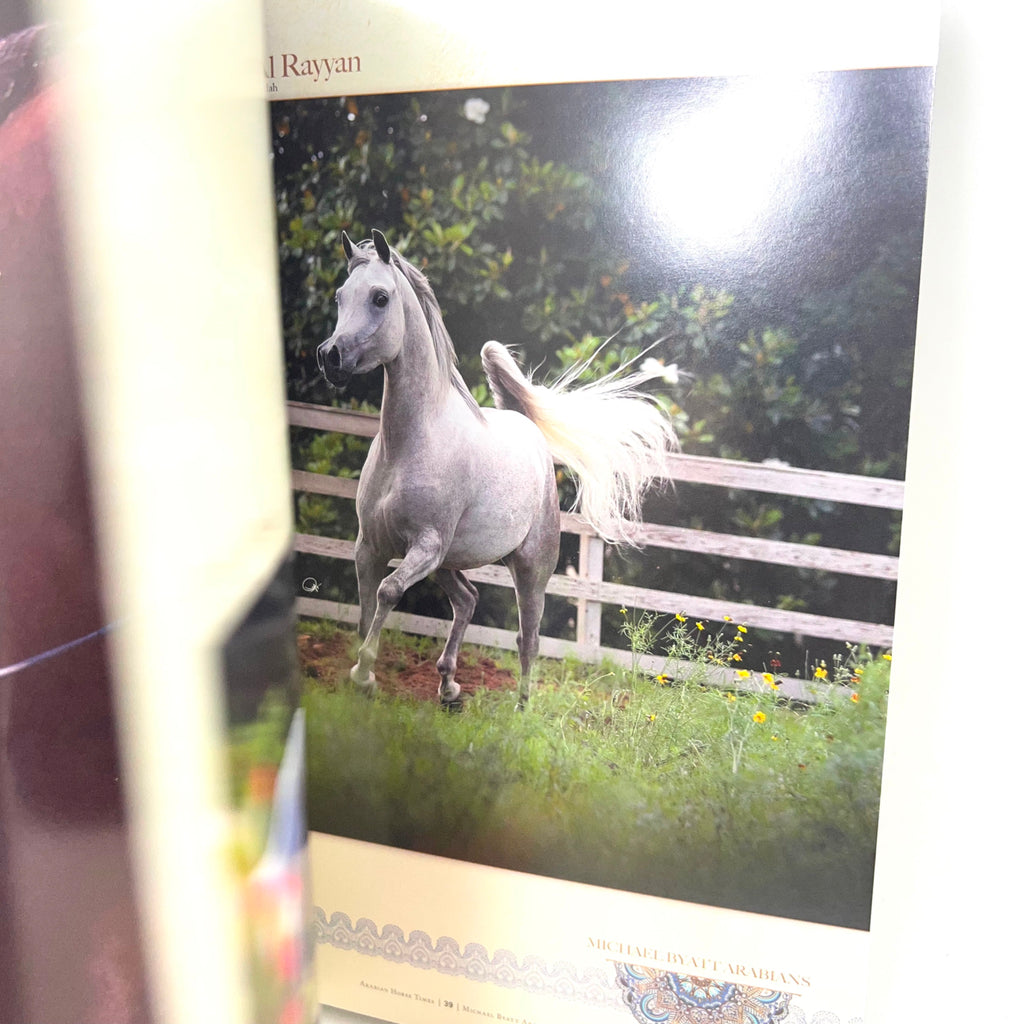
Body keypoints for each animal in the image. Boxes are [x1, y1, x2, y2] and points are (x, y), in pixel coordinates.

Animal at [316, 229, 675, 706]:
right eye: (340, 296)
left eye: (380, 297)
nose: (329, 356)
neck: (410, 443)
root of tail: (528, 427)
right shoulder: (369, 547)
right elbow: (366, 610)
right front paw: (361, 678)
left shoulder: (426, 545)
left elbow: (388, 591)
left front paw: (364, 675)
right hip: (450, 563)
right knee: (468, 600)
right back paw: (449, 686)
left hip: (528, 566)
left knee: (528, 637)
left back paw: (521, 707)